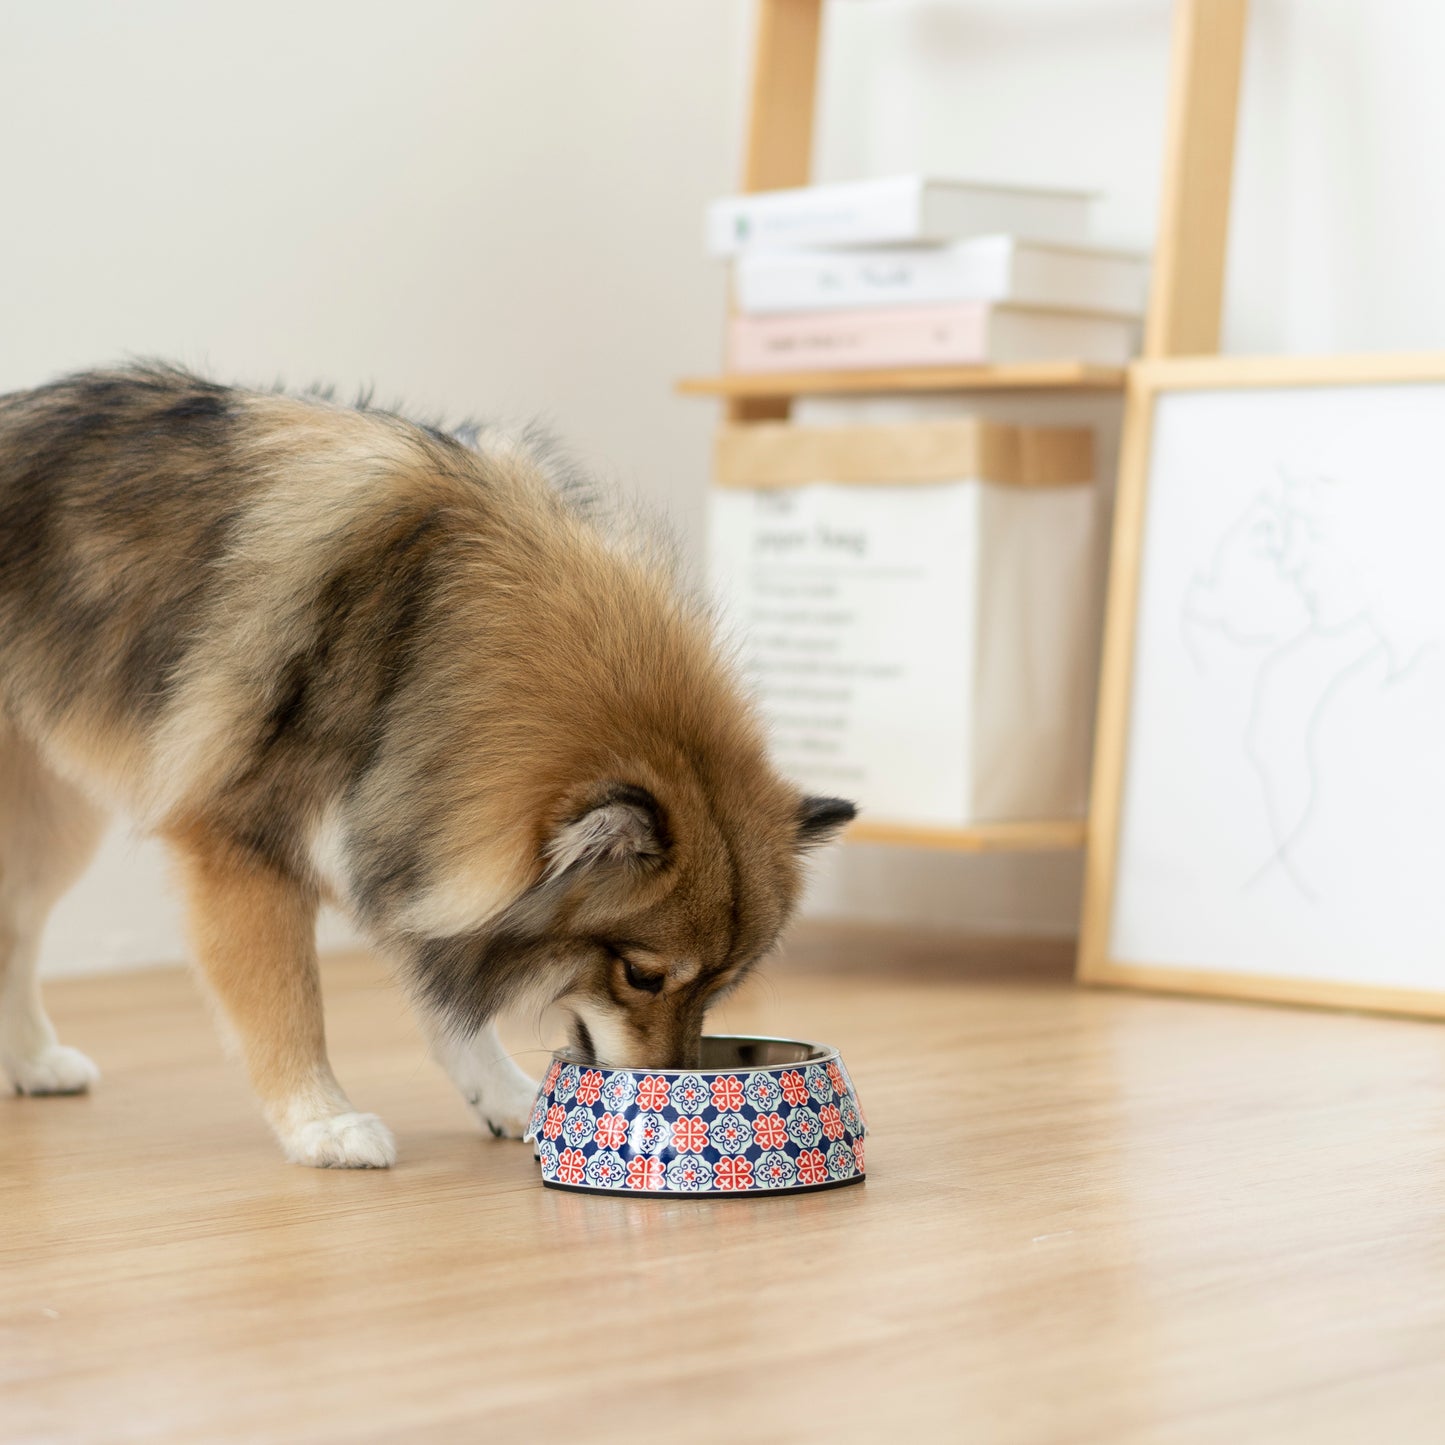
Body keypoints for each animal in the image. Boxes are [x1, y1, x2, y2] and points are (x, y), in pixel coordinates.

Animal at [0, 367, 849, 1167]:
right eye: (641, 975)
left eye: (722, 985)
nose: (674, 1084)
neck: (420, 637)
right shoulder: (245, 853)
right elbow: (288, 1005)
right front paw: (322, 1122)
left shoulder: (407, 841)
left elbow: (453, 1010)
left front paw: (505, 1098)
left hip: (48, 841)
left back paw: (34, 1061)